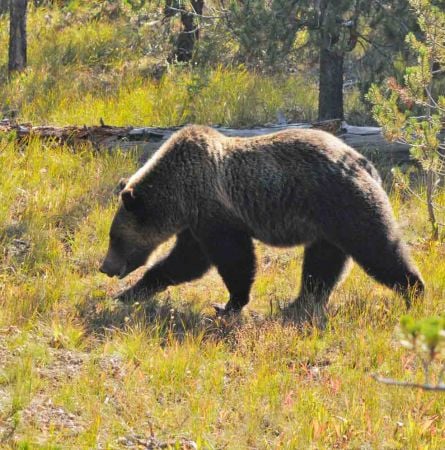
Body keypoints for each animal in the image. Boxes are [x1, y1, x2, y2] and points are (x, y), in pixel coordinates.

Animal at [99, 126, 424, 322]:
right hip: (326, 223)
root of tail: (364, 162)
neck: (178, 195)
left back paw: (414, 292)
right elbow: (185, 262)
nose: (105, 267)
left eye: (114, 237)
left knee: (377, 247)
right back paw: (297, 305)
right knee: (322, 264)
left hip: (344, 203)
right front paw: (128, 294)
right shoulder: (196, 222)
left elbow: (229, 259)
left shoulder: (214, 213)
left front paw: (228, 305)